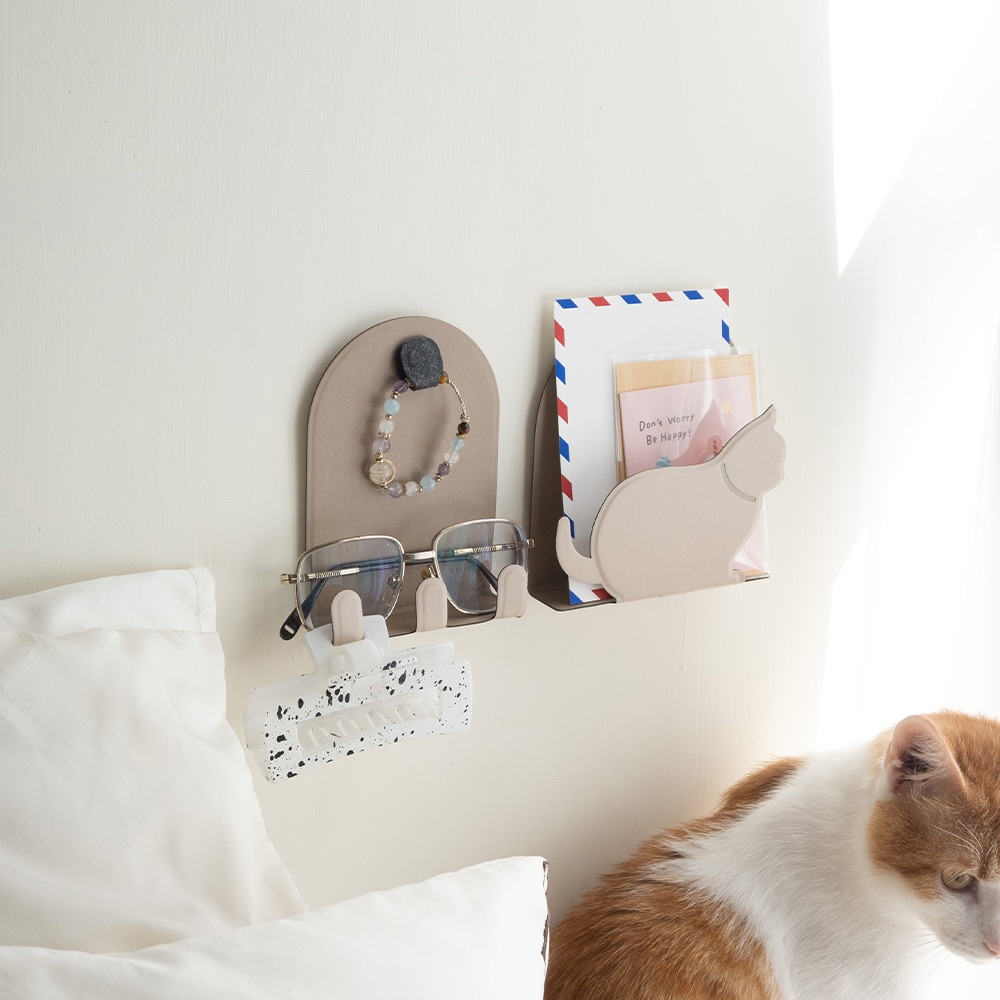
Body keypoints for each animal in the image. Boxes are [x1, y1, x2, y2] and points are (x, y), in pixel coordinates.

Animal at [555, 406, 784, 602]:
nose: (782, 473)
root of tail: (596, 563)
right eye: (777, 455)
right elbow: (720, 568)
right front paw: (731, 577)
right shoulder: (720, 550)